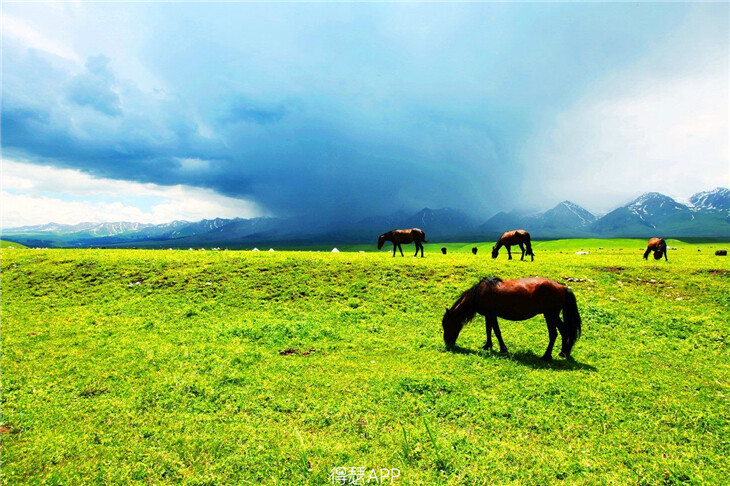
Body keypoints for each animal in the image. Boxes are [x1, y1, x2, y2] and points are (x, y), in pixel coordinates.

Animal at [438, 278, 580, 360]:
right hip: (552, 315)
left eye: (447, 324)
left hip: (550, 315)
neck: (478, 293)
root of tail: (562, 287)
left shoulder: (491, 314)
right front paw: (487, 346)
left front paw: (502, 348)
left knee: (555, 333)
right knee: (563, 331)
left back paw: (547, 356)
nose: (447, 342)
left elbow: (496, 331)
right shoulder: (489, 315)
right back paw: (563, 352)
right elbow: (489, 330)